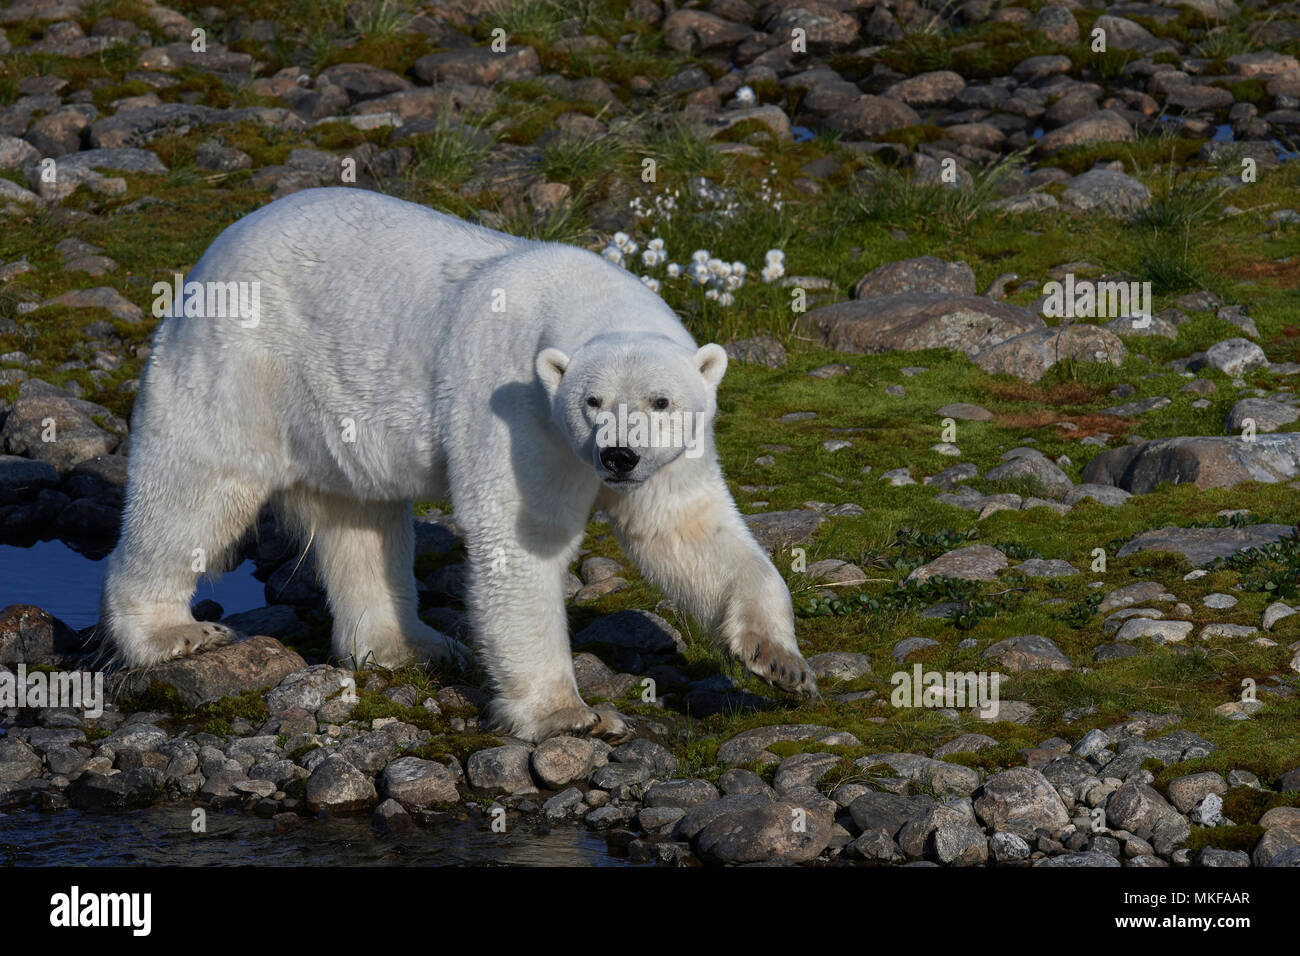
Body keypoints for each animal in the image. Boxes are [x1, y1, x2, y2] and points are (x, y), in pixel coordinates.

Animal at [102, 187, 816, 742]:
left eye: (660, 401)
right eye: (591, 402)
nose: (618, 455)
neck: (584, 298)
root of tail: (211, 256)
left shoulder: (671, 454)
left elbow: (685, 528)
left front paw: (780, 662)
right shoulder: (518, 414)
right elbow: (522, 542)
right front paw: (569, 716)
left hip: (338, 406)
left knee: (362, 518)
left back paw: (407, 644)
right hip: (243, 363)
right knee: (198, 486)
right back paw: (172, 632)